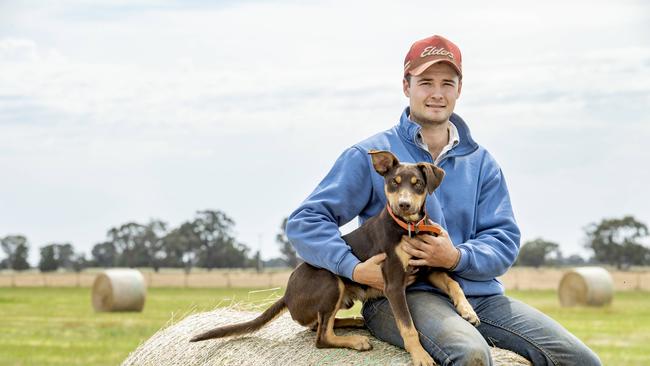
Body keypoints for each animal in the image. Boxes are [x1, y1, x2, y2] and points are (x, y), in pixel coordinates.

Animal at [190, 150, 478, 366]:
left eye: (417, 184)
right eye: (393, 183)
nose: (404, 205)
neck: (408, 228)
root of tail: (287, 294)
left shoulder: (430, 266)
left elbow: (454, 283)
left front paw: (468, 311)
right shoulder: (394, 283)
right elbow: (407, 325)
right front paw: (420, 356)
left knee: (319, 325)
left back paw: (356, 323)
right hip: (331, 281)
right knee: (321, 337)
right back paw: (356, 340)